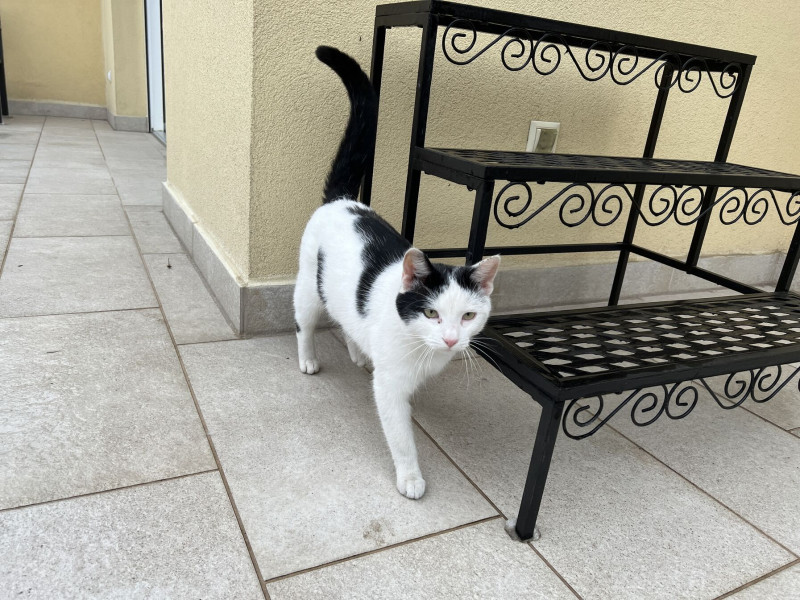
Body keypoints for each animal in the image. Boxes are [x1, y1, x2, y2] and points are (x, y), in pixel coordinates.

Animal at [294, 46, 500, 500]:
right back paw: (308, 359)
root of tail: (342, 200)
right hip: (308, 288)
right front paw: (410, 477)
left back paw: (358, 352)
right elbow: (401, 436)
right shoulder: (390, 387)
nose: (451, 340)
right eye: (431, 313)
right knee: (305, 323)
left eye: (469, 316)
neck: (421, 348)